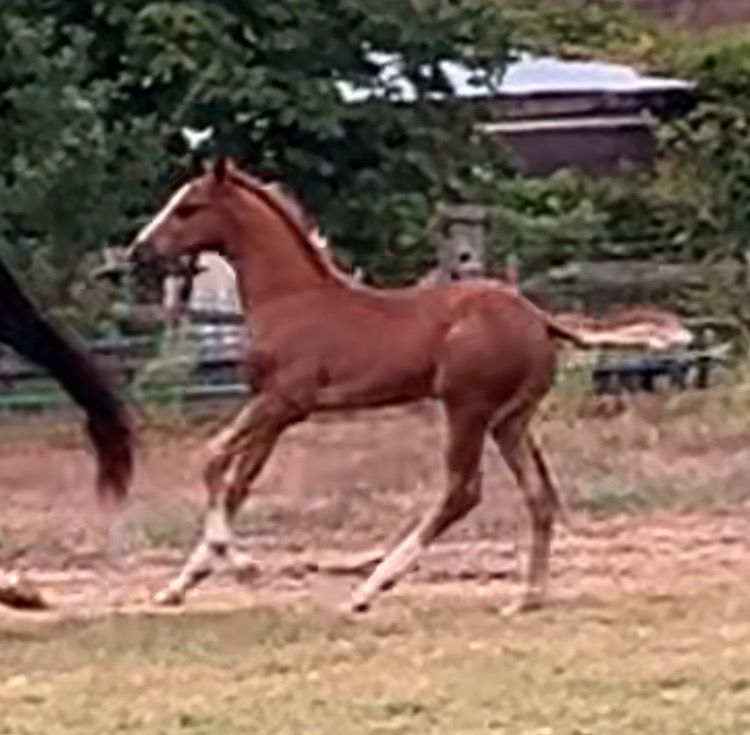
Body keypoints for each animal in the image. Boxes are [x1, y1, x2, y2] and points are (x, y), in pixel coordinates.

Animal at [128, 157, 589, 614]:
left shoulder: (284, 402)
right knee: (539, 494)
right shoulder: (273, 413)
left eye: (188, 208)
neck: (289, 300)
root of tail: (540, 320)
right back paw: (528, 597)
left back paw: (370, 588)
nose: (138, 250)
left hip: (467, 408)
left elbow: (211, 457)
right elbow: (237, 484)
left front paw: (242, 564)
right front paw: (178, 586)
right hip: (509, 420)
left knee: (463, 490)